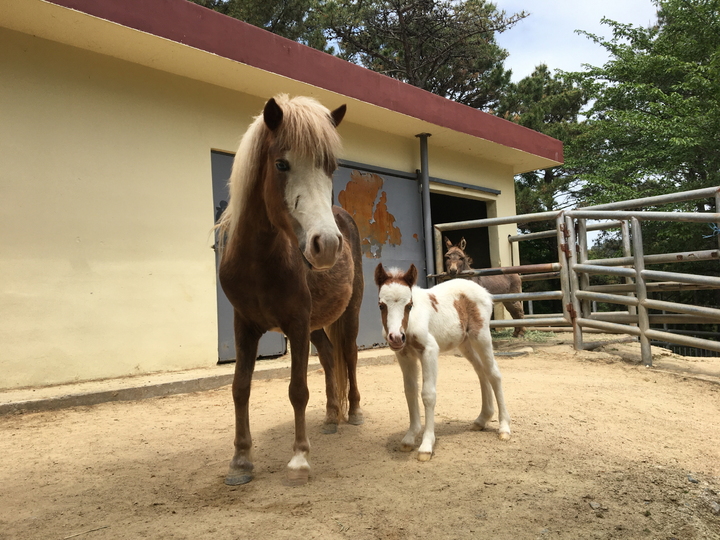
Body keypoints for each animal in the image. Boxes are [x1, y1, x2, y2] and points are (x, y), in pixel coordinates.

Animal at [374, 264, 510, 462]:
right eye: (381, 305)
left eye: (409, 305)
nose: (396, 337)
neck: (411, 323)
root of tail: (484, 292)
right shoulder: (404, 355)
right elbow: (410, 391)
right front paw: (410, 437)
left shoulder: (430, 351)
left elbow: (428, 395)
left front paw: (426, 445)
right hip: (464, 343)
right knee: (481, 371)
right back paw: (481, 419)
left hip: (481, 337)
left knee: (494, 374)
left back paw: (504, 428)